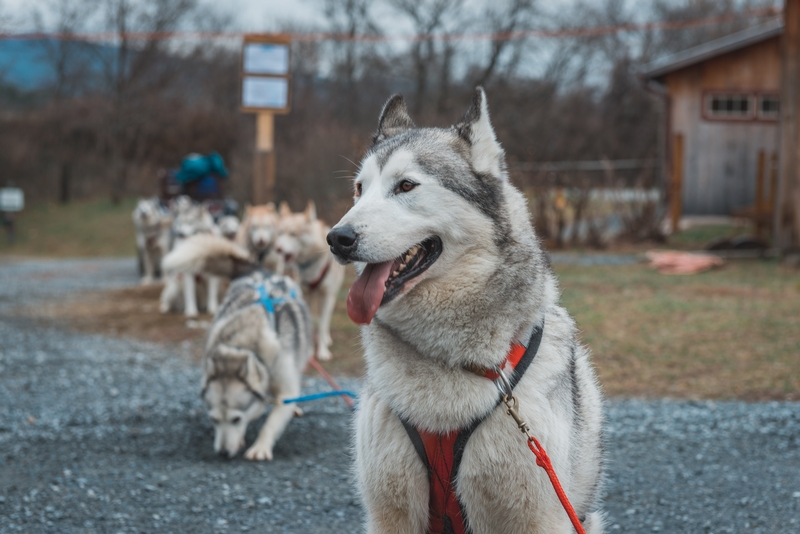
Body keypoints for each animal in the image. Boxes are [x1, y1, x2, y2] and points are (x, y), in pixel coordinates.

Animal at [200, 272, 312, 460]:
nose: (222, 453)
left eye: (236, 419)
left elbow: (270, 424)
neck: (242, 344)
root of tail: (267, 275)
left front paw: (260, 447)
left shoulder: (285, 391)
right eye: (213, 420)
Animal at [276, 203, 344, 362]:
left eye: (293, 234)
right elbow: (311, 324)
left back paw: (326, 338)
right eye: (280, 233)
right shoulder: (306, 294)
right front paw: (309, 353)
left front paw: (323, 352)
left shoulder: (326, 296)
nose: (278, 249)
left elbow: (322, 325)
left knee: (325, 321)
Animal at [326, 89, 608, 534]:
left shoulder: (537, 514)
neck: (452, 362)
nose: (337, 238)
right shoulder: (391, 514)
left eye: (406, 185)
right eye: (359, 189)